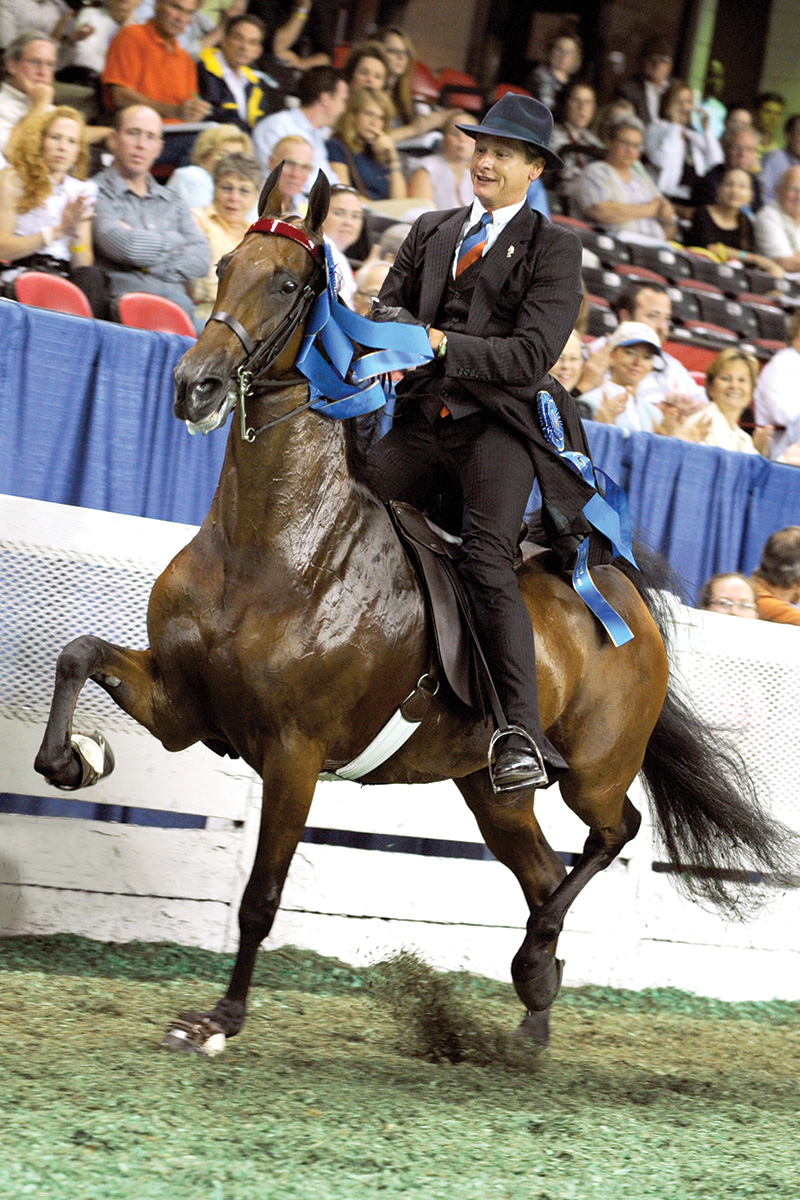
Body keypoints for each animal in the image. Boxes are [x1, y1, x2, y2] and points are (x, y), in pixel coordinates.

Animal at [34, 171, 791, 1060]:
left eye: (286, 284)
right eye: (222, 267)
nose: (197, 386)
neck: (268, 546)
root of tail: (615, 586)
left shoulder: (293, 753)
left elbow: (261, 894)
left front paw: (218, 1021)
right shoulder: (185, 706)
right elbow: (78, 653)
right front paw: (74, 760)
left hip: (595, 770)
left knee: (615, 835)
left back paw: (533, 964)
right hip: (492, 792)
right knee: (542, 872)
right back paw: (532, 1009)